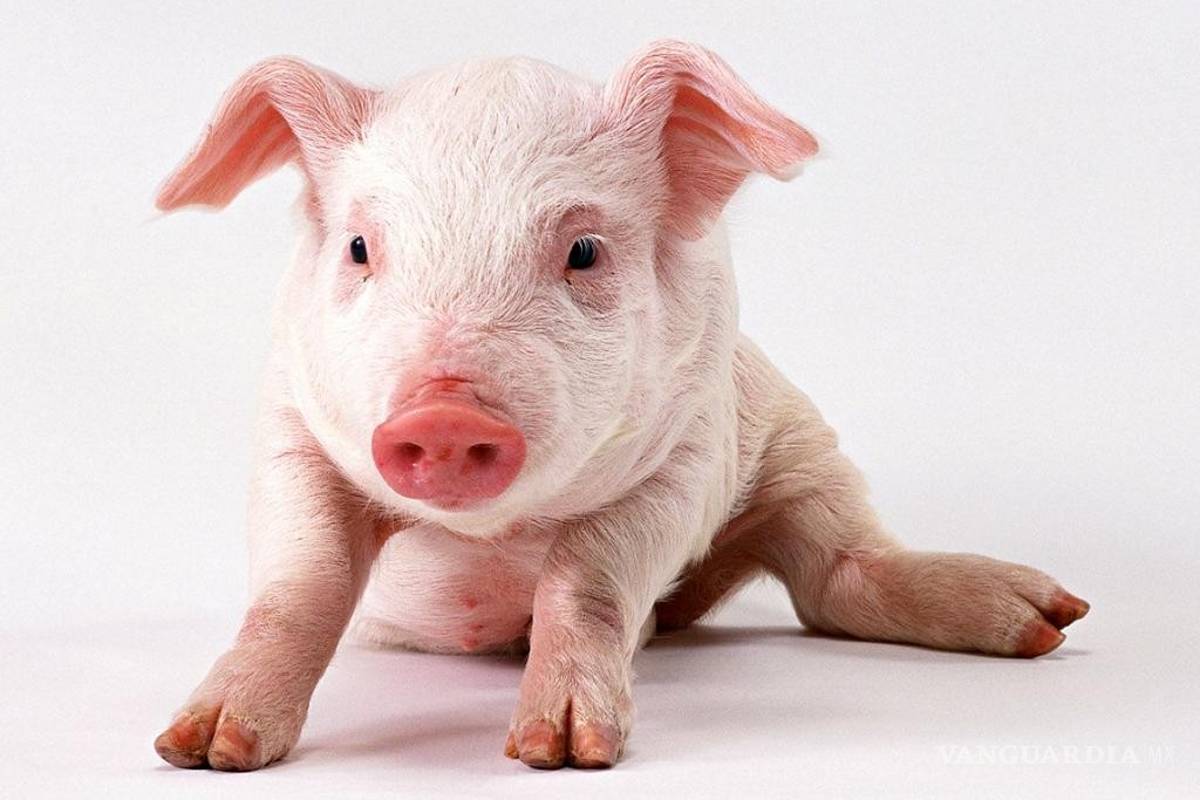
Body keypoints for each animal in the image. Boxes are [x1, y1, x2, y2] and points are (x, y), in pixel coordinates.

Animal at [152, 40, 1090, 772]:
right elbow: (298, 583)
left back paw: (1050, 620)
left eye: (584, 250)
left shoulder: (692, 449)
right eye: (357, 248)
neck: (489, 541)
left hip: (800, 441)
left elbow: (587, 579)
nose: (445, 415)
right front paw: (203, 749)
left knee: (835, 573)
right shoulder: (290, 430)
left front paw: (560, 753)